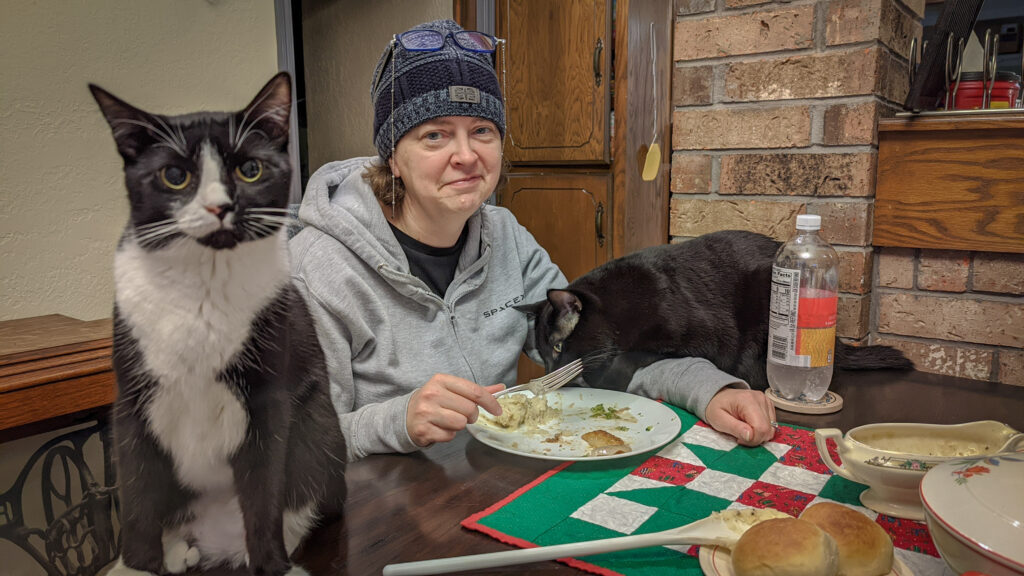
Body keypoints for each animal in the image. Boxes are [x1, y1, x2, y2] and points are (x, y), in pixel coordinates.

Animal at [90, 72, 344, 573]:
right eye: (174, 176)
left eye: (251, 170)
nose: (219, 207)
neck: (202, 285)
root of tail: (214, 543)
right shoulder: (130, 399)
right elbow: (137, 496)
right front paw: (136, 564)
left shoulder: (269, 396)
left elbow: (264, 493)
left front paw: (272, 565)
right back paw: (174, 551)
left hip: (320, 435)